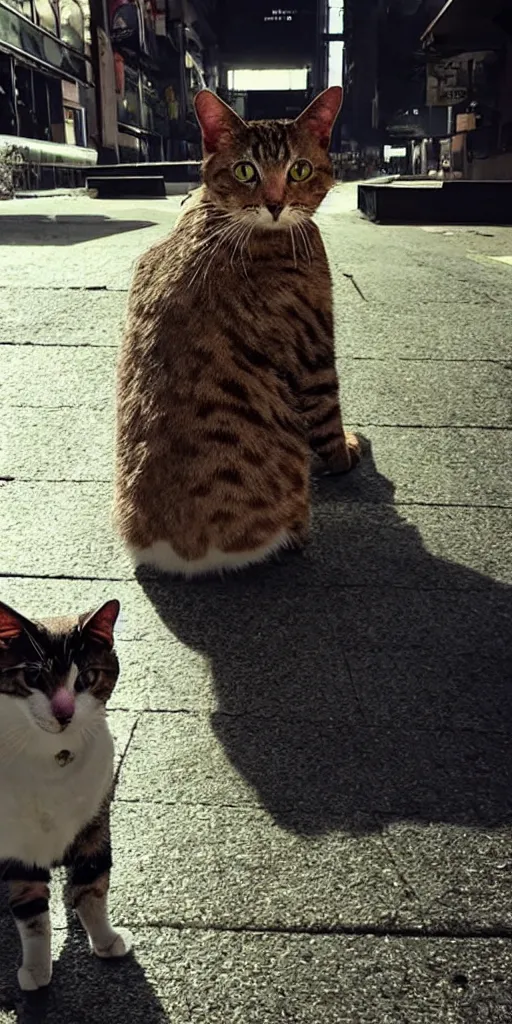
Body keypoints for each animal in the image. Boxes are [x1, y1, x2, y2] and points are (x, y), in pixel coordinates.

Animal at [0, 598, 132, 991]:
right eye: (33, 678)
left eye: (86, 678)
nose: (64, 712)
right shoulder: (17, 842)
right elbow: (31, 911)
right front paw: (36, 968)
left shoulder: (95, 821)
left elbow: (92, 887)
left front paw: (104, 940)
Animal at [115, 86, 360, 577]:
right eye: (246, 170)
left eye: (299, 169)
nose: (275, 203)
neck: (216, 212)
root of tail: (174, 553)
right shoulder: (314, 348)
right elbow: (328, 416)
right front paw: (345, 452)